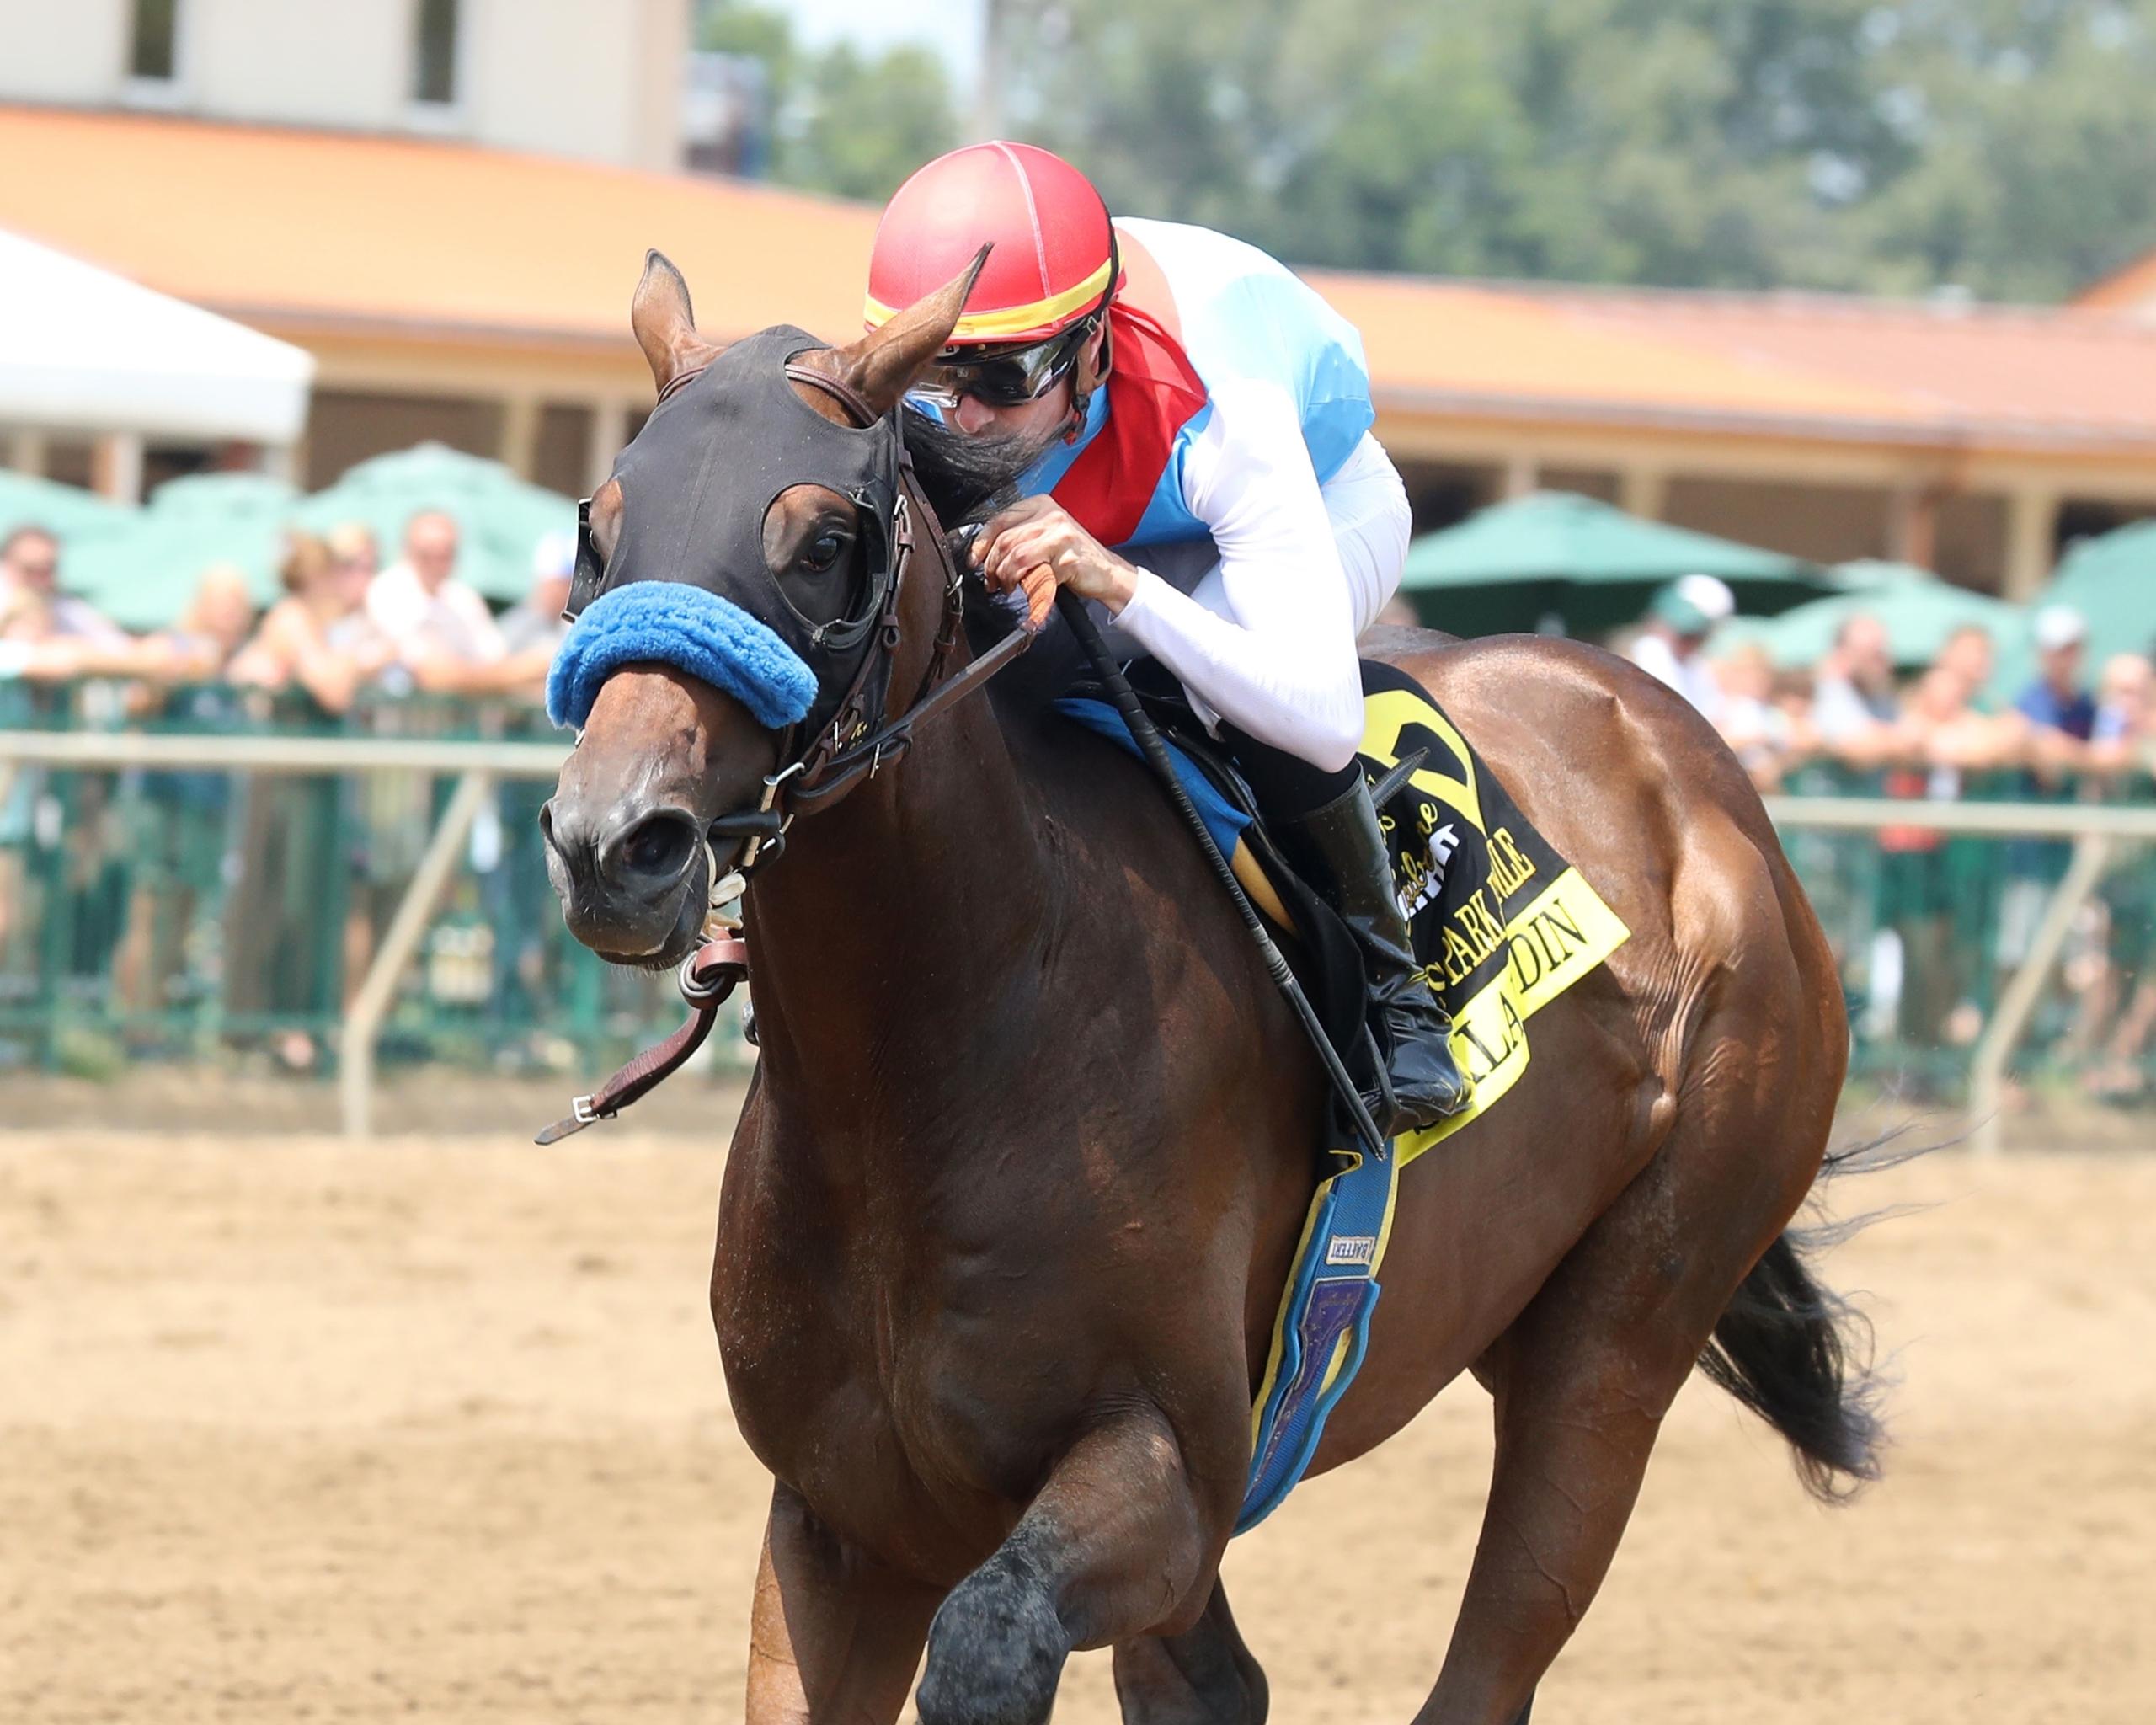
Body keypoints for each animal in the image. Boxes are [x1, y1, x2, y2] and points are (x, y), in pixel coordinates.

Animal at [538, 252, 1880, 1725]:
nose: (616, 841)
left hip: (1625, 1332)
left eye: (823, 542)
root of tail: (1704, 772)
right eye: (601, 528)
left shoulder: (1172, 1471)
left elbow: (992, 1638)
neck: (938, 1060)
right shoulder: (841, 1521)